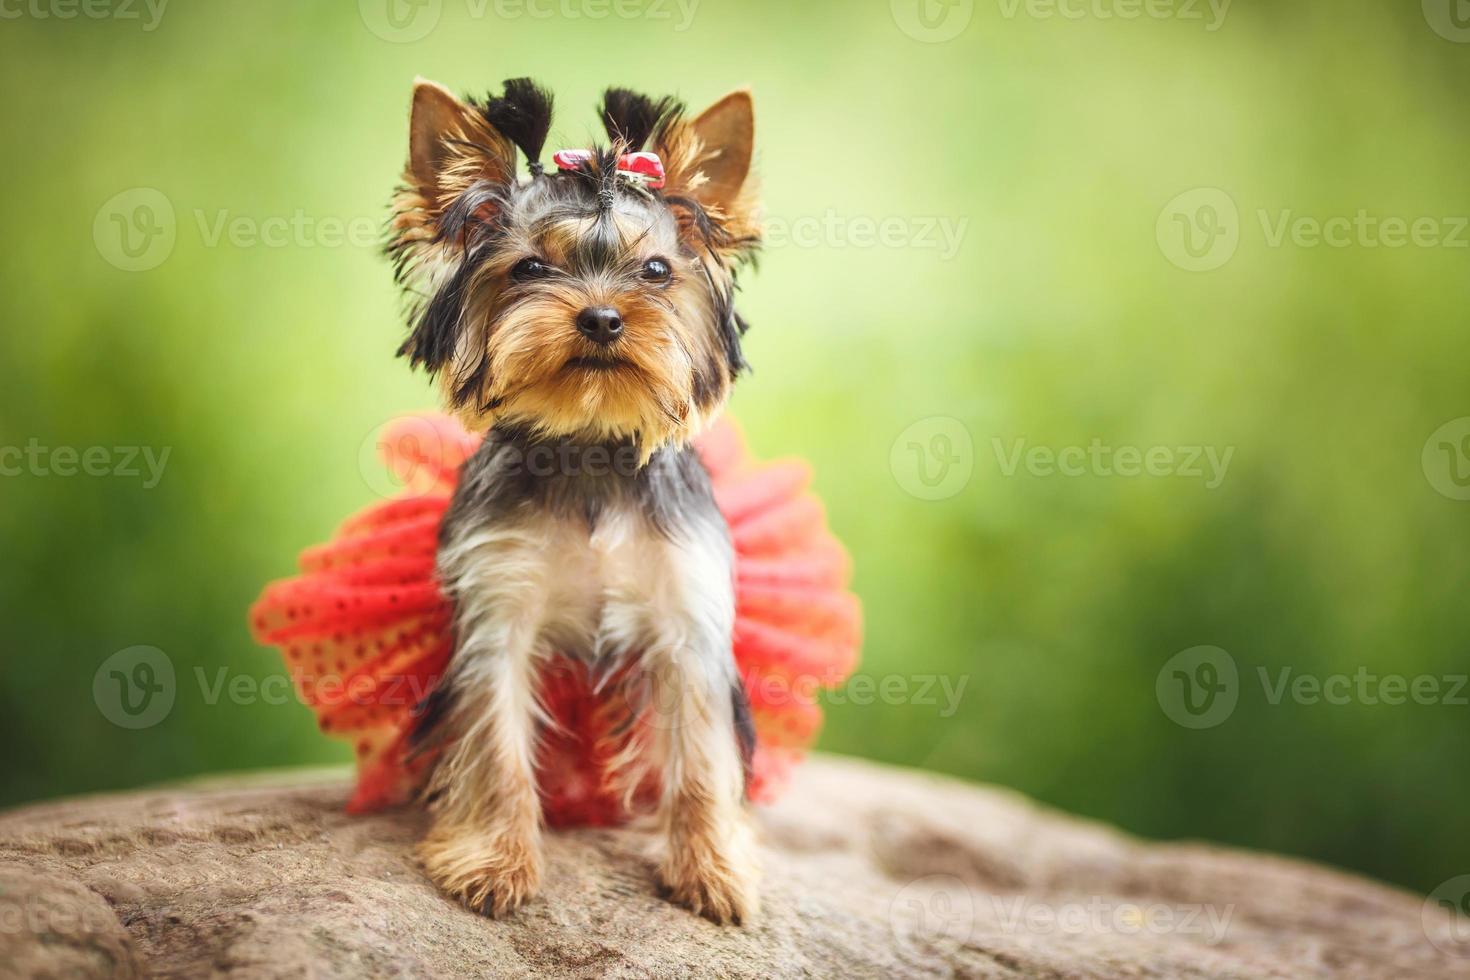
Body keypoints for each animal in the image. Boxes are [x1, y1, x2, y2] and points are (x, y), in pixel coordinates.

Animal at [385, 78, 764, 928]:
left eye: (655, 269)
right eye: (528, 268)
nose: (600, 317)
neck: (591, 439)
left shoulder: (688, 619)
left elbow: (699, 756)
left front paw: (712, 871)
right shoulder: (498, 609)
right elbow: (495, 744)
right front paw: (495, 863)